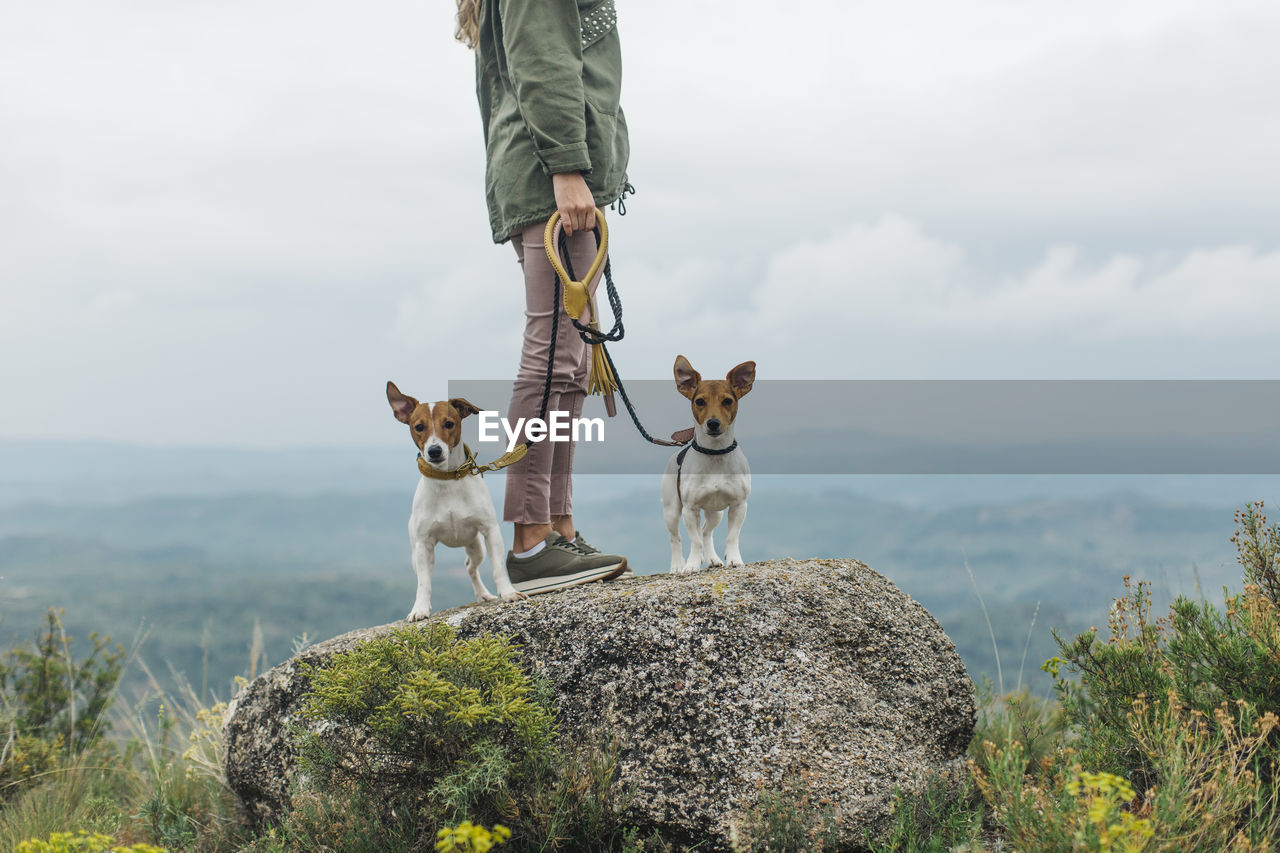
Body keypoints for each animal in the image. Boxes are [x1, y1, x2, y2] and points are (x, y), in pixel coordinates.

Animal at [381, 379, 522, 617]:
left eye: (449, 423)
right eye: (419, 427)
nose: (434, 451)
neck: (447, 481)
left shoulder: (490, 530)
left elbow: (498, 569)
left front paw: (508, 592)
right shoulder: (424, 545)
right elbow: (423, 583)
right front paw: (420, 608)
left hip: (476, 547)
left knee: (470, 567)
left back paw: (483, 594)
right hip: (417, 554)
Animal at [665, 350, 752, 571]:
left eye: (728, 401)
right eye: (700, 401)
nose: (713, 423)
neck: (715, 453)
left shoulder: (739, 505)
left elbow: (732, 537)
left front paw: (734, 559)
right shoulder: (690, 509)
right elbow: (694, 541)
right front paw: (692, 564)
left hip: (716, 512)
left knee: (706, 531)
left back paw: (712, 558)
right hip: (671, 509)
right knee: (676, 538)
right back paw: (677, 565)